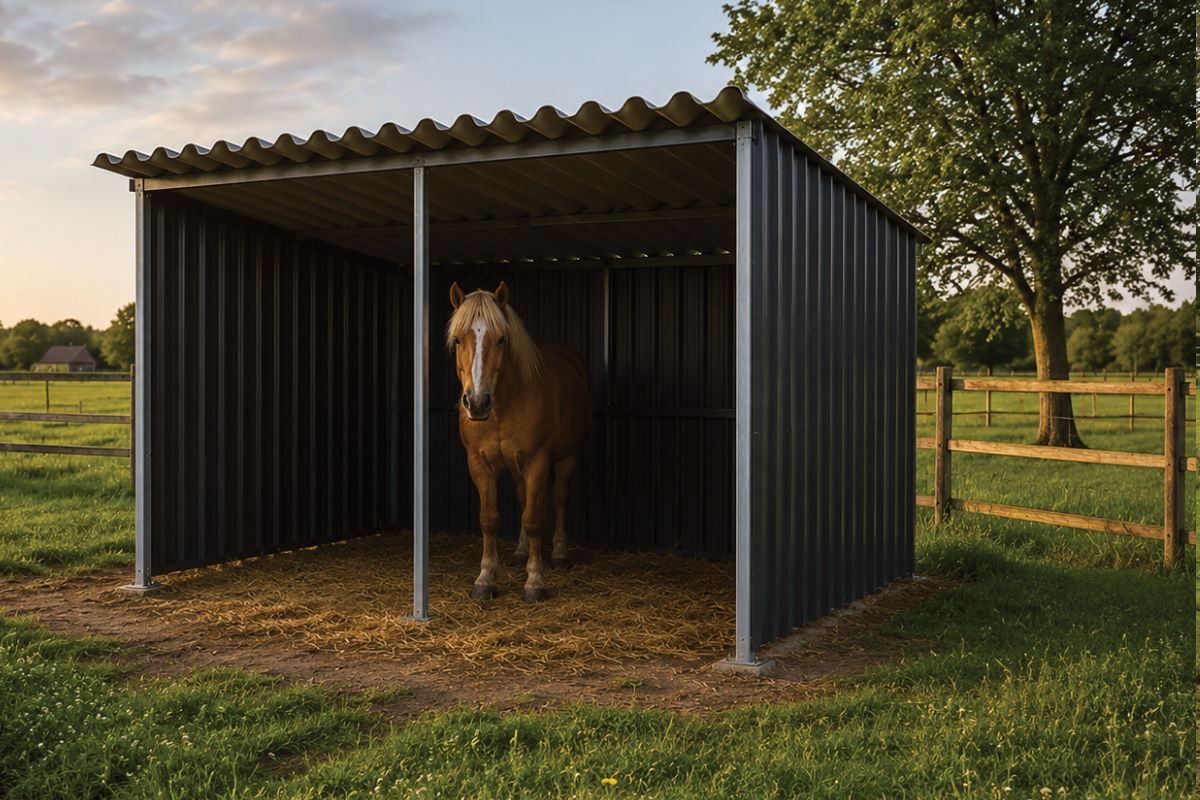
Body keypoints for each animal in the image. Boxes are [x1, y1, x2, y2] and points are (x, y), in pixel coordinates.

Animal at [446, 281, 591, 603]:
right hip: (516, 467)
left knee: (559, 497)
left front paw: (535, 581)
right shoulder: (478, 463)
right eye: (458, 340)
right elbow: (489, 518)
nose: (477, 402)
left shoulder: (538, 462)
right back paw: (522, 553)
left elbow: (533, 518)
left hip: (567, 457)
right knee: (525, 497)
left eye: (501, 339)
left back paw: (560, 554)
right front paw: (485, 579)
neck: (502, 409)